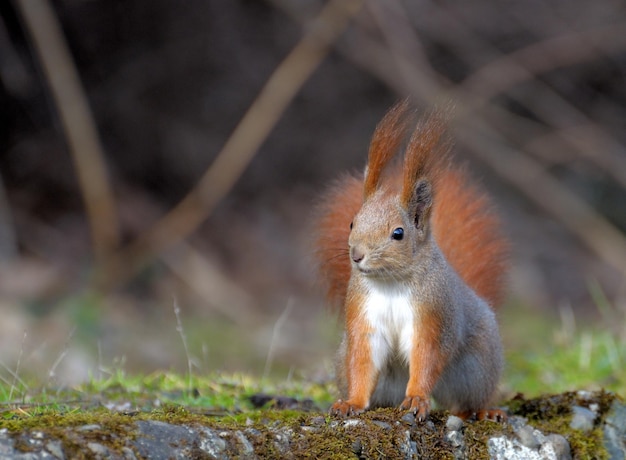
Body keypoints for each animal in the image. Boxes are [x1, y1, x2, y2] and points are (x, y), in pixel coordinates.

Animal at [312, 100, 508, 420]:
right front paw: (351, 402)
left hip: (476, 368)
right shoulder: (364, 318)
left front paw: (416, 398)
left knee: (466, 403)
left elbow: (426, 358)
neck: (391, 283)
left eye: (398, 233)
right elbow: (362, 362)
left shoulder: (433, 318)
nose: (356, 255)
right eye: (352, 223)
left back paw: (484, 411)